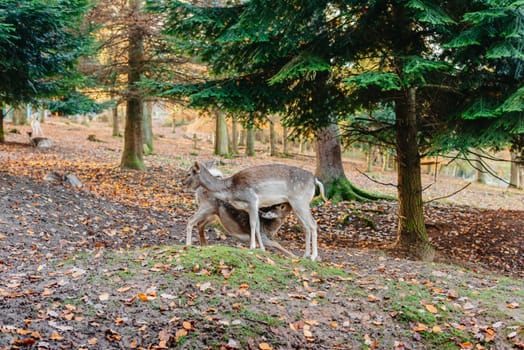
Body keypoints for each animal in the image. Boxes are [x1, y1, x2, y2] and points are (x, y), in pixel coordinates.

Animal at [184, 161, 324, 260]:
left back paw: (313, 256)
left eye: (191, 172)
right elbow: (256, 225)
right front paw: (261, 249)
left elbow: (252, 224)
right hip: (297, 205)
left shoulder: (252, 199)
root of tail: (314, 180)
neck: (231, 192)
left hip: (300, 201)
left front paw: (252, 247)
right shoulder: (253, 206)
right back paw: (305, 255)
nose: (183, 182)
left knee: (312, 223)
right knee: (306, 226)